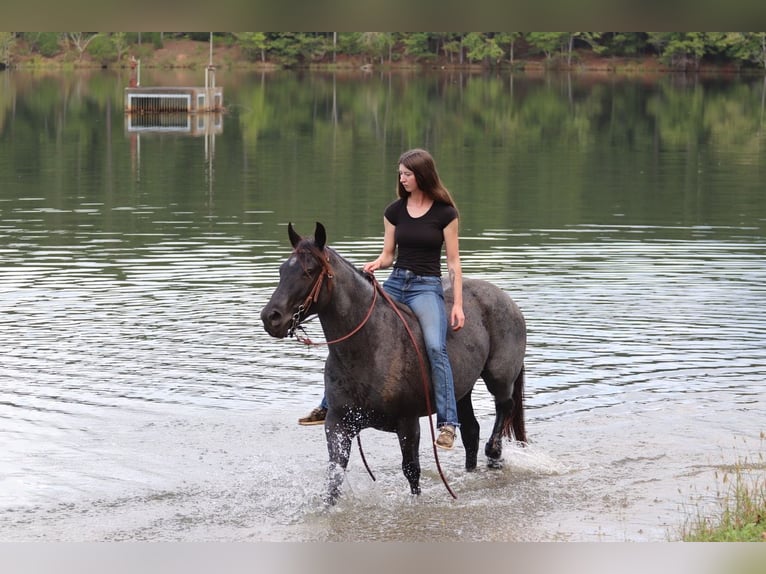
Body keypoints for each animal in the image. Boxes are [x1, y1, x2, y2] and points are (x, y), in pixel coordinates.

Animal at [260, 222, 528, 504]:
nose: (271, 318)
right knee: (471, 433)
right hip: (461, 391)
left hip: (499, 378)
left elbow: (411, 471)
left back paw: (494, 453)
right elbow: (335, 473)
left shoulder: (408, 423)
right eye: (282, 270)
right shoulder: (338, 423)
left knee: (503, 408)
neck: (371, 348)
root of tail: (507, 300)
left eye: (309, 271)